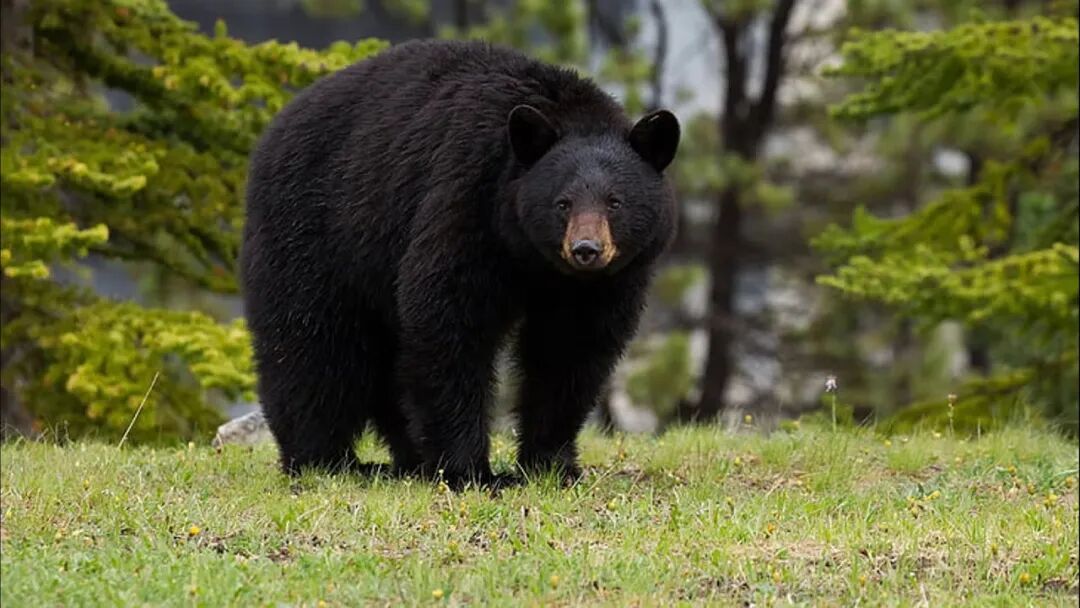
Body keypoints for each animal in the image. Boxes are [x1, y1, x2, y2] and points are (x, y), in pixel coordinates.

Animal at [240, 39, 680, 489]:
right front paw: (471, 471)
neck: (534, 259)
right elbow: (449, 320)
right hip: (314, 230)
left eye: (615, 202)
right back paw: (324, 460)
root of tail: (275, 126)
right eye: (563, 203)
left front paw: (551, 465)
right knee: (310, 345)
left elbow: (569, 349)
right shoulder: (468, 202)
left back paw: (406, 458)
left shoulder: (601, 284)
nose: (586, 249)